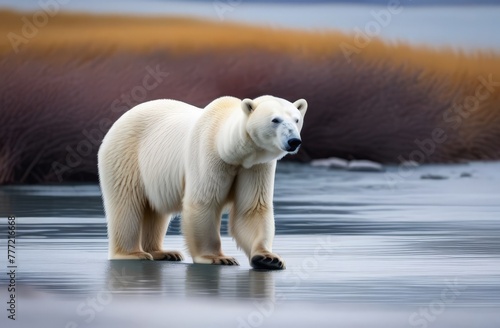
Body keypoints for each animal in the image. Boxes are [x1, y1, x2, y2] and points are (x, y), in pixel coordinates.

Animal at [97, 95, 306, 270]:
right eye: (275, 120)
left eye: (296, 119)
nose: (294, 141)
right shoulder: (208, 154)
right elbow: (204, 202)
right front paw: (218, 258)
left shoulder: (255, 166)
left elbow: (252, 208)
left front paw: (268, 258)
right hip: (126, 155)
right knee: (126, 204)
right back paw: (132, 253)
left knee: (155, 210)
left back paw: (163, 252)